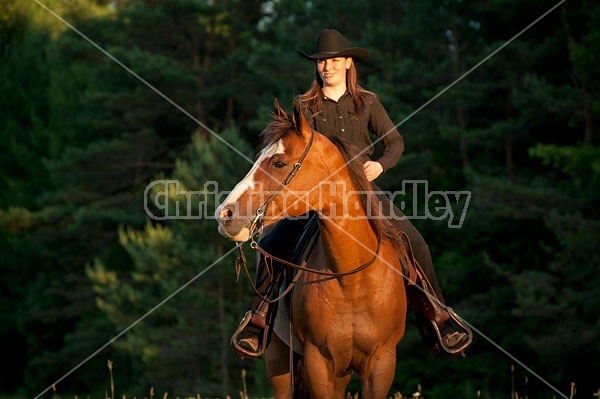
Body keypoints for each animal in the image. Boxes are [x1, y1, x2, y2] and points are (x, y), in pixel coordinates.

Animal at [214, 101, 408, 399]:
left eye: (278, 162)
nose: (225, 214)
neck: (352, 279)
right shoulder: (318, 364)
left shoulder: (382, 363)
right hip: (279, 361)